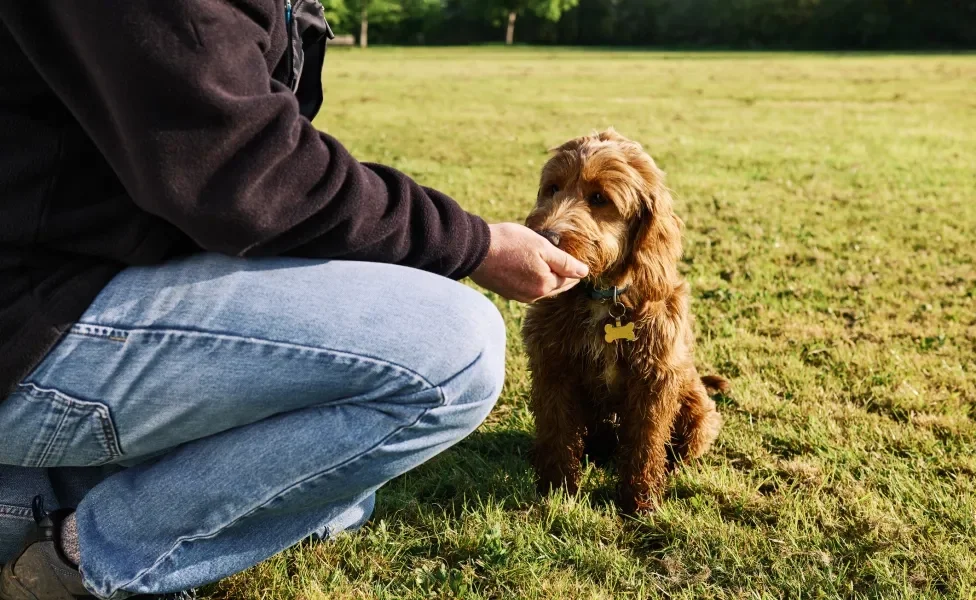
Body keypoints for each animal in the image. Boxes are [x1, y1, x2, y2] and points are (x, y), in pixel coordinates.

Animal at [524, 129, 728, 512]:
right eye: (553, 188)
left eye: (599, 197)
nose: (544, 237)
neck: (604, 296)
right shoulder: (552, 367)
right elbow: (557, 430)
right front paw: (557, 489)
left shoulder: (655, 379)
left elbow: (645, 442)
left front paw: (640, 501)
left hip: (697, 412)